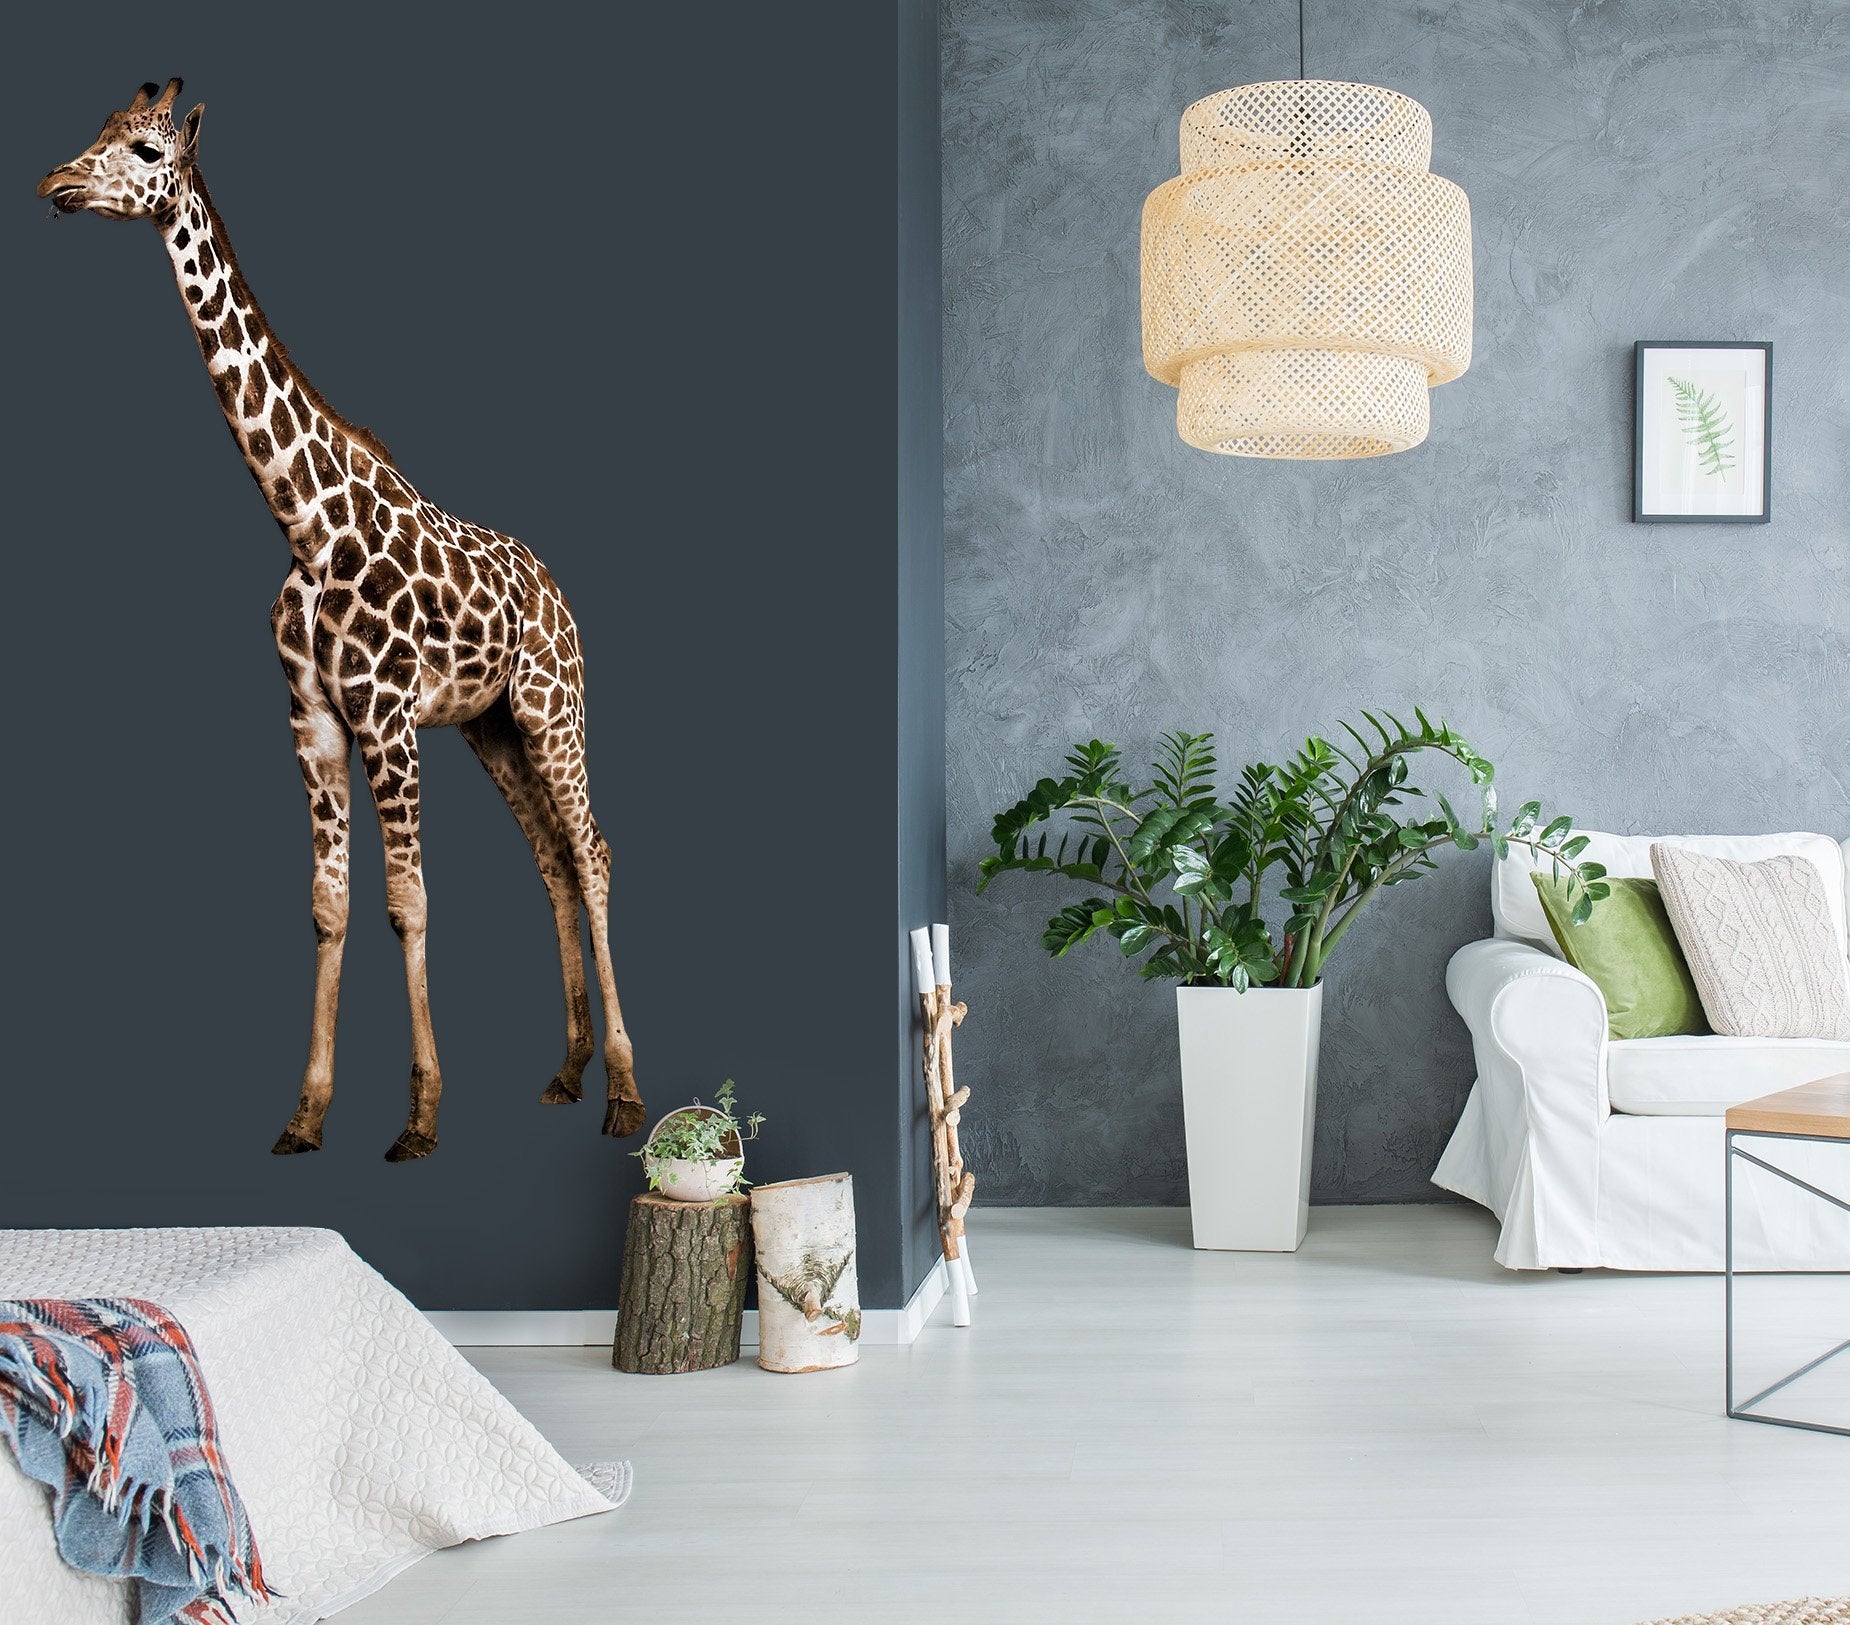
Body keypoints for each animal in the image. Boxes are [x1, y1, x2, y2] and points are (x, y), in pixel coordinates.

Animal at [37, 79, 645, 1160]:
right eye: (99, 133)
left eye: (146, 150)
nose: (56, 183)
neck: (303, 519)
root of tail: (560, 593)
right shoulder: (316, 720)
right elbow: (329, 905)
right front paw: (306, 1112)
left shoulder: (386, 717)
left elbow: (408, 900)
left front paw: (420, 1115)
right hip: (493, 728)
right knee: (549, 862)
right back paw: (567, 1070)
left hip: (552, 708)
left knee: (592, 852)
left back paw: (621, 1087)